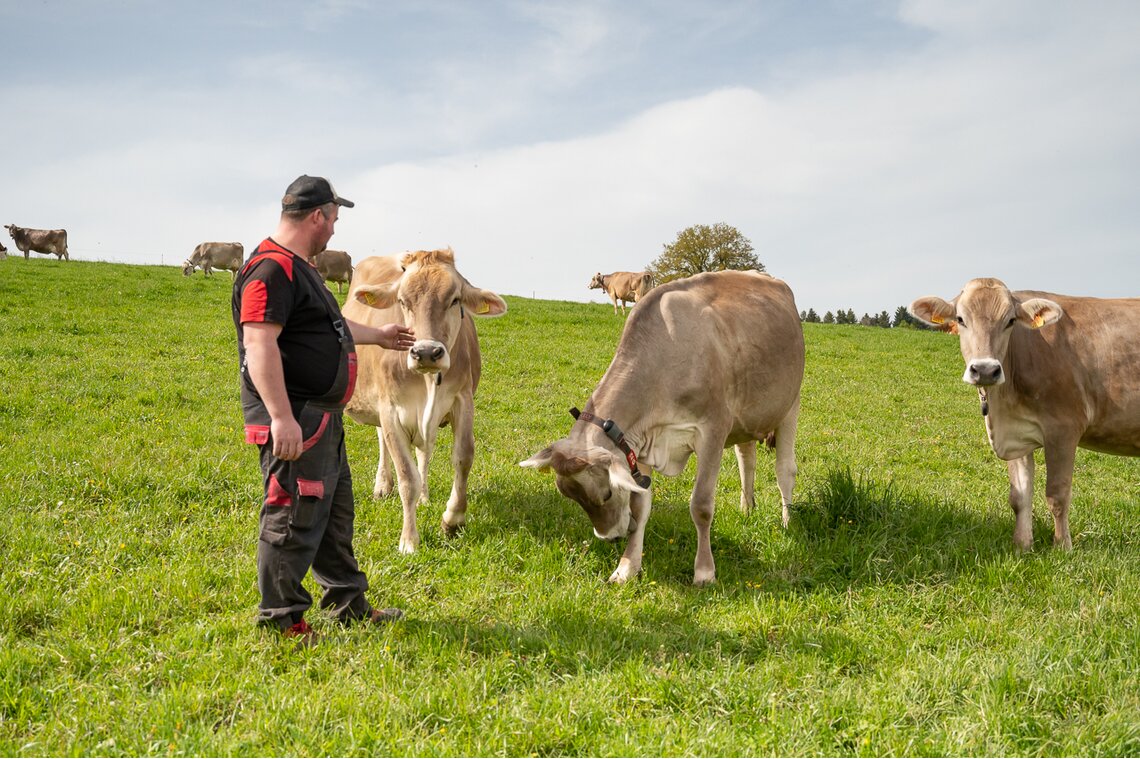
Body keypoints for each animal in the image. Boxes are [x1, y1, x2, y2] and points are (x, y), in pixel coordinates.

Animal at [339, 248, 506, 549]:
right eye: (402, 301)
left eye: (455, 300)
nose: (427, 352)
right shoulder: (390, 409)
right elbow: (406, 476)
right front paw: (409, 540)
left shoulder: (462, 400)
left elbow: (463, 457)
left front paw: (453, 519)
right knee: (383, 442)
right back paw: (382, 485)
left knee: (424, 453)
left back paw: (425, 497)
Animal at [522, 268, 807, 581]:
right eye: (570, 496)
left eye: (606, 493)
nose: (608, 538)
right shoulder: (640, 442)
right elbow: (639, 506)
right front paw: (626, 568)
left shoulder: (713, 430)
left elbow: (701, 505)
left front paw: (704, 573)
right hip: (747, 415)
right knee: (747, 459)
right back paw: (747, 509)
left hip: (790, 404)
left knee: (785, 471)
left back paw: (787, 522)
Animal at [912, 278, 1140, 549]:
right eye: (960, 318)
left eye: (1010, 320)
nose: (986, 370)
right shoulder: (1017, 434)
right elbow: (1019, 496)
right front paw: (1022, 545)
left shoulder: (1064, 428)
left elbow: (1057, 495)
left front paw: (1062, 547)